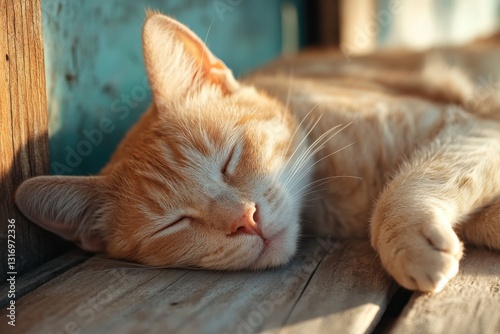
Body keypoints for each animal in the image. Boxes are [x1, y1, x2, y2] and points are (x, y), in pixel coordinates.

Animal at [14, 13, 500, 292]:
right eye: (174, 223)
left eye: (230, 160)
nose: (245, 220)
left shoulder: (470, 123)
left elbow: (404, 189)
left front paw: (410, 239)